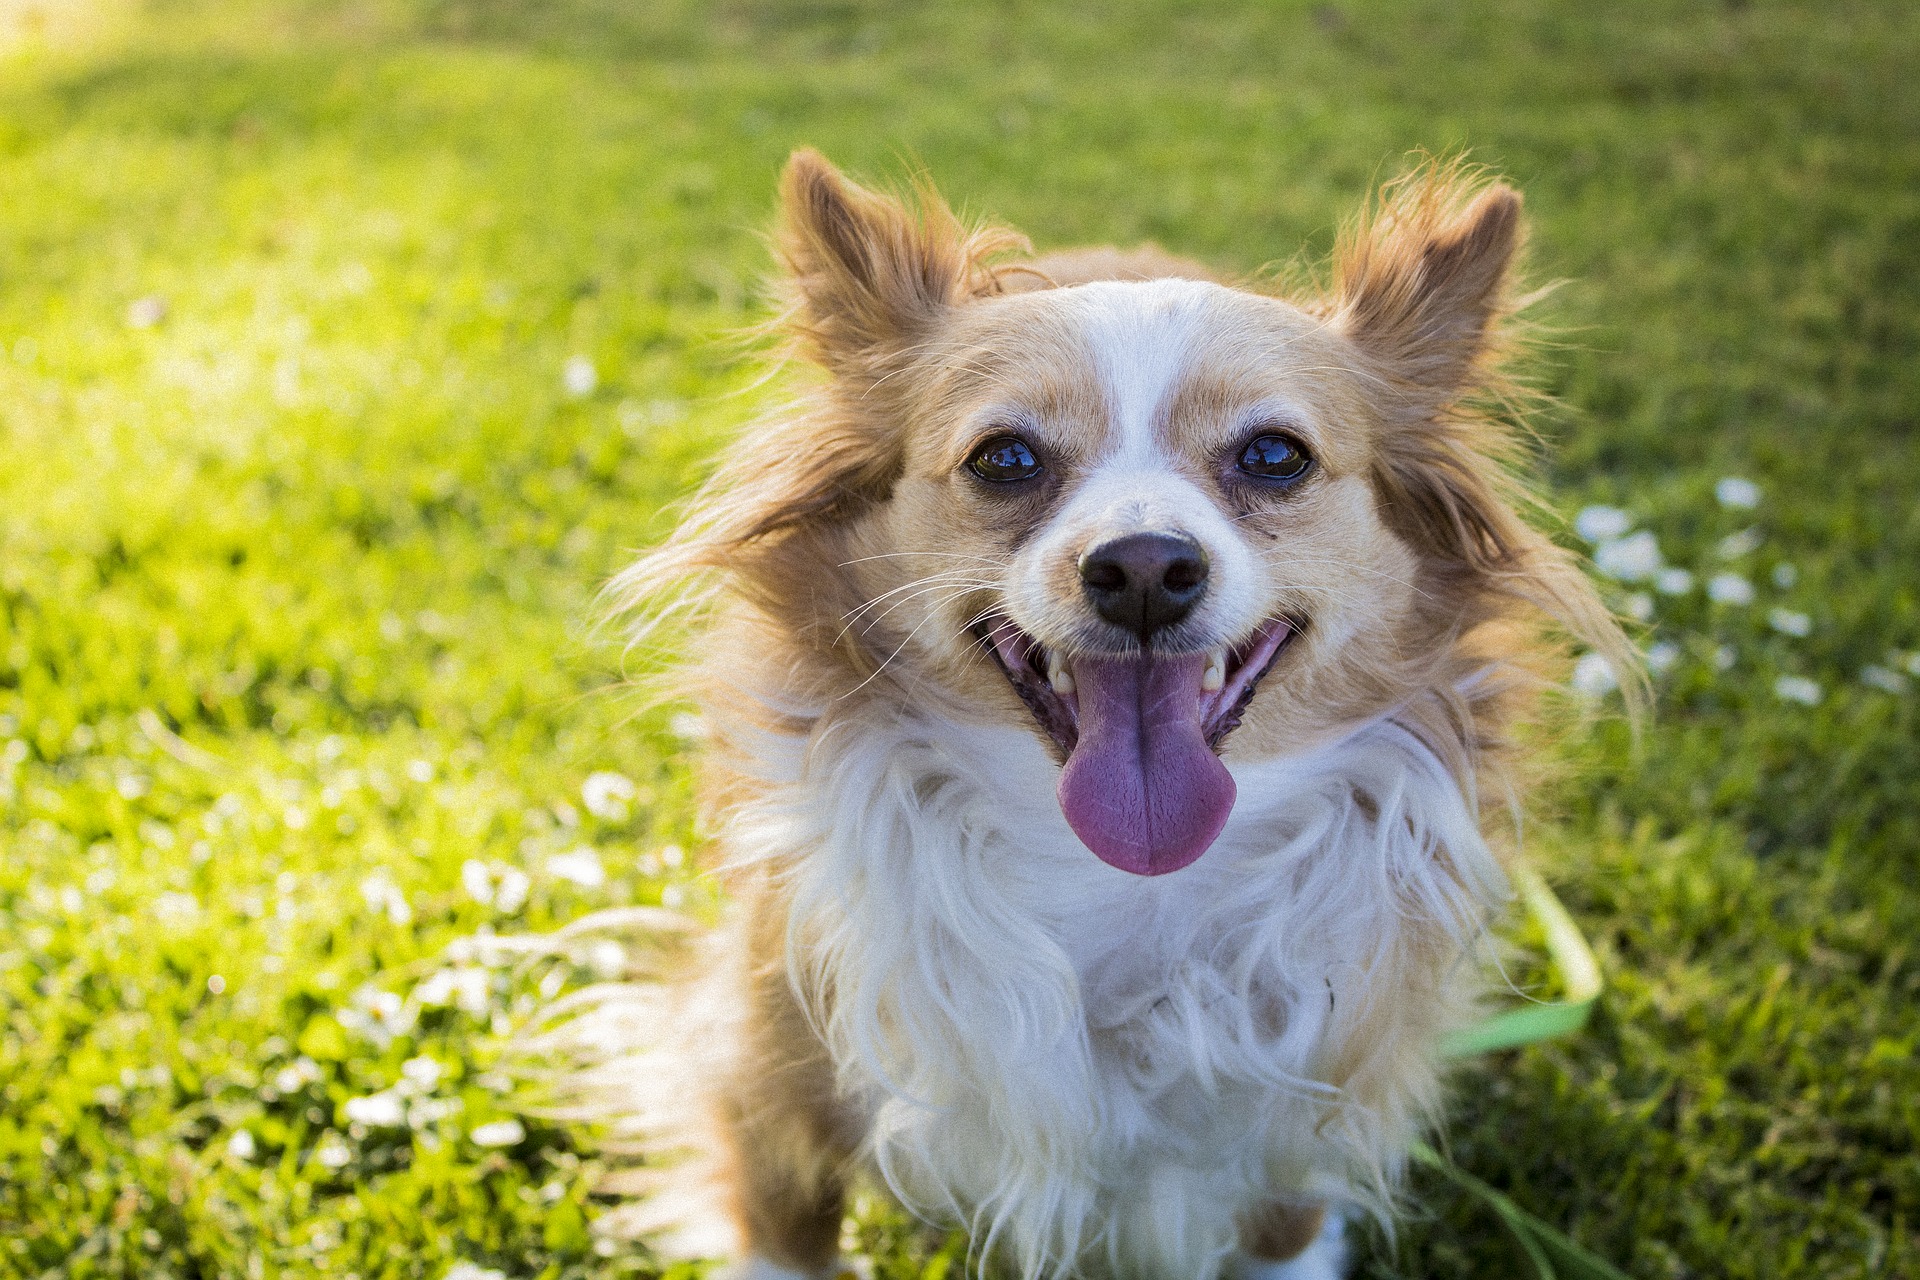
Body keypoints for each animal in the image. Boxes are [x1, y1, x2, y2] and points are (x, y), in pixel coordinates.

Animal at [576, 152, 1628, 1280]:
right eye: (1004, 458)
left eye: (1274, 456)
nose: (1145, 569)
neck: (1123, 878)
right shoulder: (775, 1071)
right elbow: (785, 1226)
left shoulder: (1305, 1113)